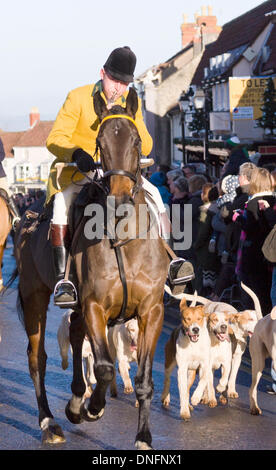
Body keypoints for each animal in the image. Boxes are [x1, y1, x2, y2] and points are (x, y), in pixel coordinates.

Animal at [13, 88, 170, 452]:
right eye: (100, 142)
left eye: (137, 141)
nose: (120, 200)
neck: (123, 239)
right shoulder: (96, 306)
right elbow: (104, 367)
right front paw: (93, 408)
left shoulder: (151, 311)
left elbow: (143, 379)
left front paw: (143, 437)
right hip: (35, 298)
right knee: (37, 359)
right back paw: (50, 422)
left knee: (73, 336)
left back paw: (73, 402)